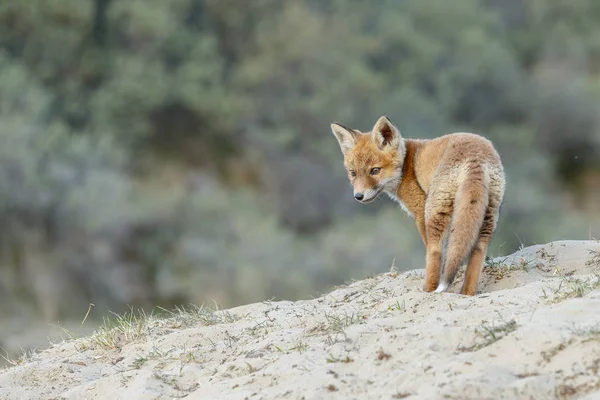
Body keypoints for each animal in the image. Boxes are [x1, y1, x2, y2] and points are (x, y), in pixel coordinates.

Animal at [330, 114, 504, 296]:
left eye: (375, 170)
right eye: (353, 173)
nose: (358, 196)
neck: (407, 165)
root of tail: (475, 156)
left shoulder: (420, 211)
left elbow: (436, 253)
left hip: (434, 211)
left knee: (435, 251)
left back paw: (428, 289)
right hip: (489, 214)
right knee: (478, 251)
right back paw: (467, 293)